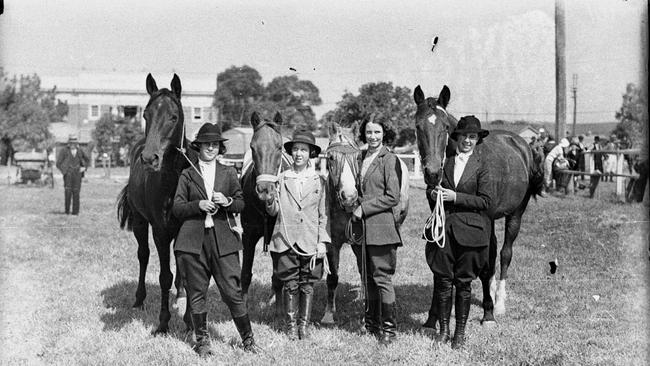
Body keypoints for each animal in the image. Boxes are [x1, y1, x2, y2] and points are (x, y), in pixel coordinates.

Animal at [117, 74, 192, 334]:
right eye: (145, 115)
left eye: (174, 116)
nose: (150, 158)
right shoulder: (160, 231)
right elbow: (163, 276)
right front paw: (163, 322)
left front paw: (188, 319)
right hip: (140, 223)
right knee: (143, 255)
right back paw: (139, 299)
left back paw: (180, 295)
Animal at [239, 111, 290, 314]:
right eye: (253, 147)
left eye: (279, 147)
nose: (265, 190)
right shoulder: (248, 235)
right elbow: (245, 274)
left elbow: (278, 277)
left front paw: (279, 311)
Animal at [412, 85, 544, 324]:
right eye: (418, 126)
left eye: (445, 127)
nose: (433, 173)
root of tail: (523, 146)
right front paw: (432, 318)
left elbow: (489, 264)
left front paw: (488, 313)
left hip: (514, 215)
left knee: (504, 254)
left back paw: (498, 302)